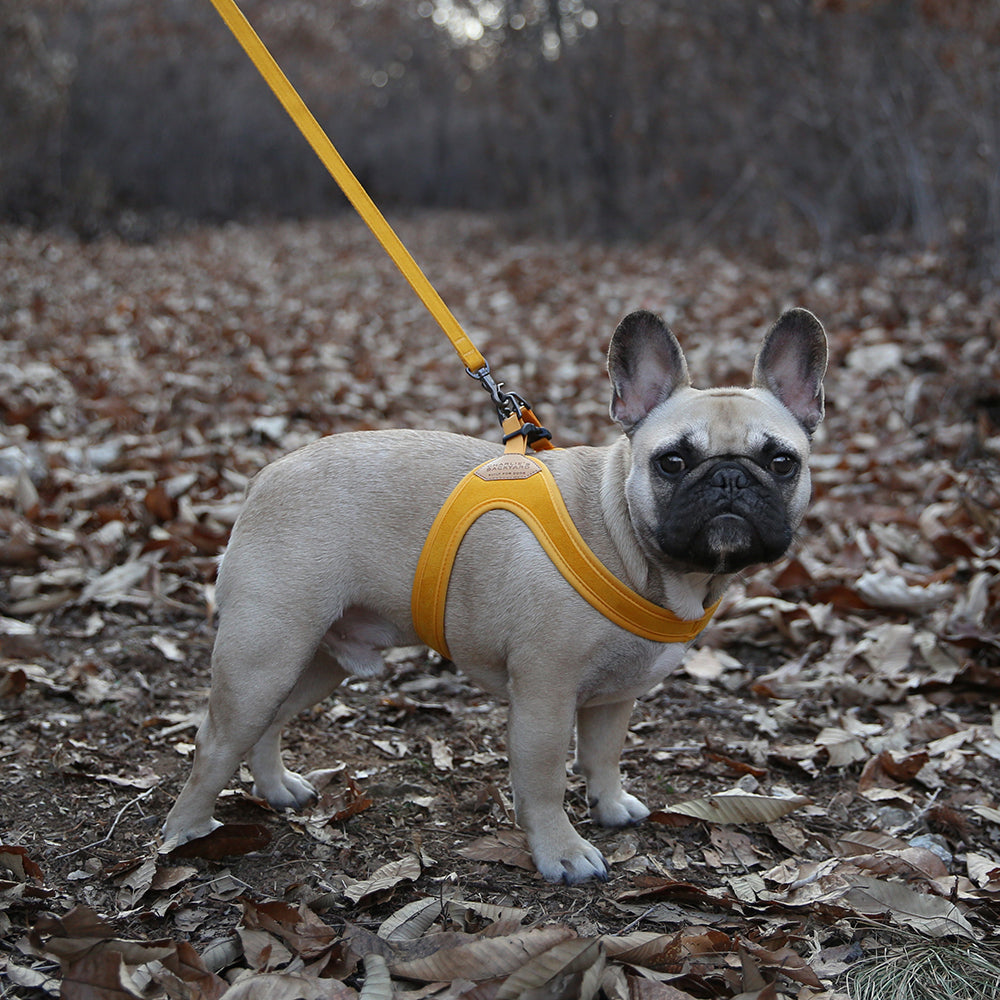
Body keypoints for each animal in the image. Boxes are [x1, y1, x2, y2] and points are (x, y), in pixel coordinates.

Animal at [164, 306, 828, 884]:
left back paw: (276, 788)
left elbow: (604, 757)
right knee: (215, 743)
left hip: (317, 658)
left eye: (781, 461)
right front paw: (562, 852)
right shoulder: (544, 694)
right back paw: (187, 833)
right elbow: (543, 780)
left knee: (270, 722)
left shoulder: (615, 696)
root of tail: (268, 474)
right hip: (264, 654)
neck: (626, 540)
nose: (730, 477)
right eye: (671, 462)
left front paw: (610, 806)